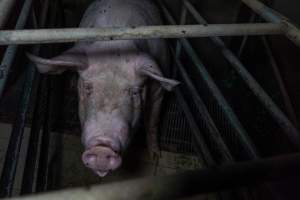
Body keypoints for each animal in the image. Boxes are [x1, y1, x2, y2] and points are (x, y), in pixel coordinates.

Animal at [27, 0, 178, 177]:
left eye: (135, 91)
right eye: (87, 87)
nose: (102, 147)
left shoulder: (158, 90)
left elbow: (153, 120)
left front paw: (155, 156)